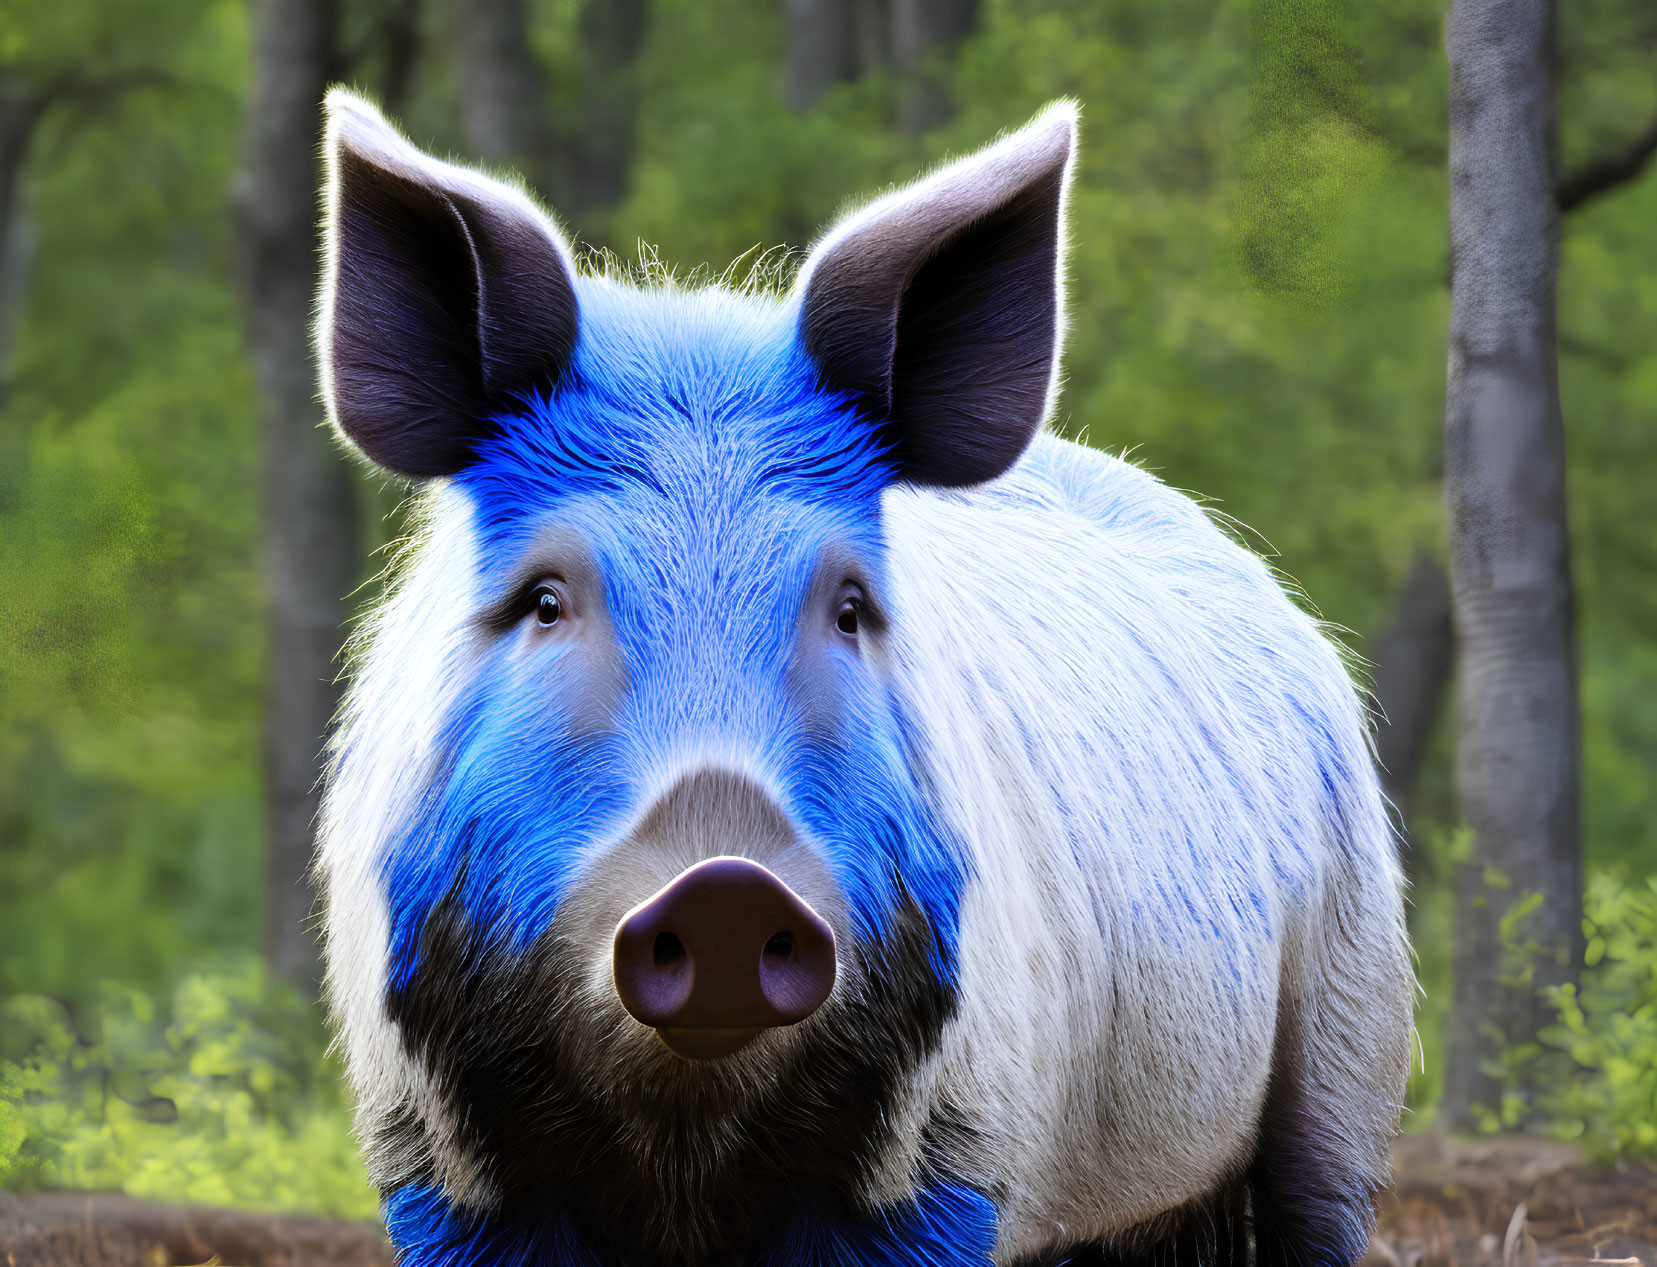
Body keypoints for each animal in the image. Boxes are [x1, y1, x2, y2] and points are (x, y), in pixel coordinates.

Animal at [311, 89, 1411, 1265]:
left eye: (848, 606)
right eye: (546, 600)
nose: (724, 881)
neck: (682, 1148)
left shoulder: (953, 1152)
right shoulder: (435, 1163)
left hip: (1352, 1018)